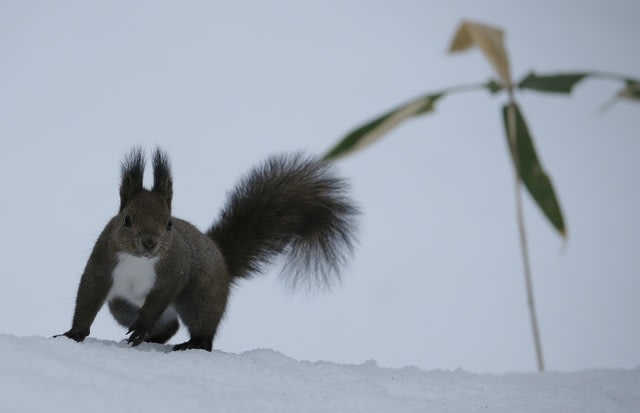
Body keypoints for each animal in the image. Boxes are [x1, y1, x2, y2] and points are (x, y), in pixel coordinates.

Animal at [57, 146, 358, 350]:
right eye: (127, 220)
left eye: (169, 224)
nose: (149, 243)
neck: (139, 261)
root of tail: (221, 258)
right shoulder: (101, 267)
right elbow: (87, 299)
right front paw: (73, 333)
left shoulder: (172, 273)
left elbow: (156, 302)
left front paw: (141, 328)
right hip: (122, 306)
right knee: (170, 325)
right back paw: (154, 338)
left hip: (200, 297)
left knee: (201, 330)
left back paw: (190, 343)